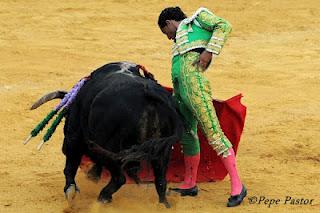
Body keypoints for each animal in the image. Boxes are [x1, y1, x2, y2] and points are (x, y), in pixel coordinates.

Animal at [59, 62, 182, 208]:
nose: (62, 148)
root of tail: (147, 94)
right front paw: (92, 176)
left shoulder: (74, 136)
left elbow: (71, 164)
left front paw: (71, 191)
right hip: (163, 151)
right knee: (161, 181)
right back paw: (163, 205)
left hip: (111, 148)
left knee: (119, 178)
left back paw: (103, 198)